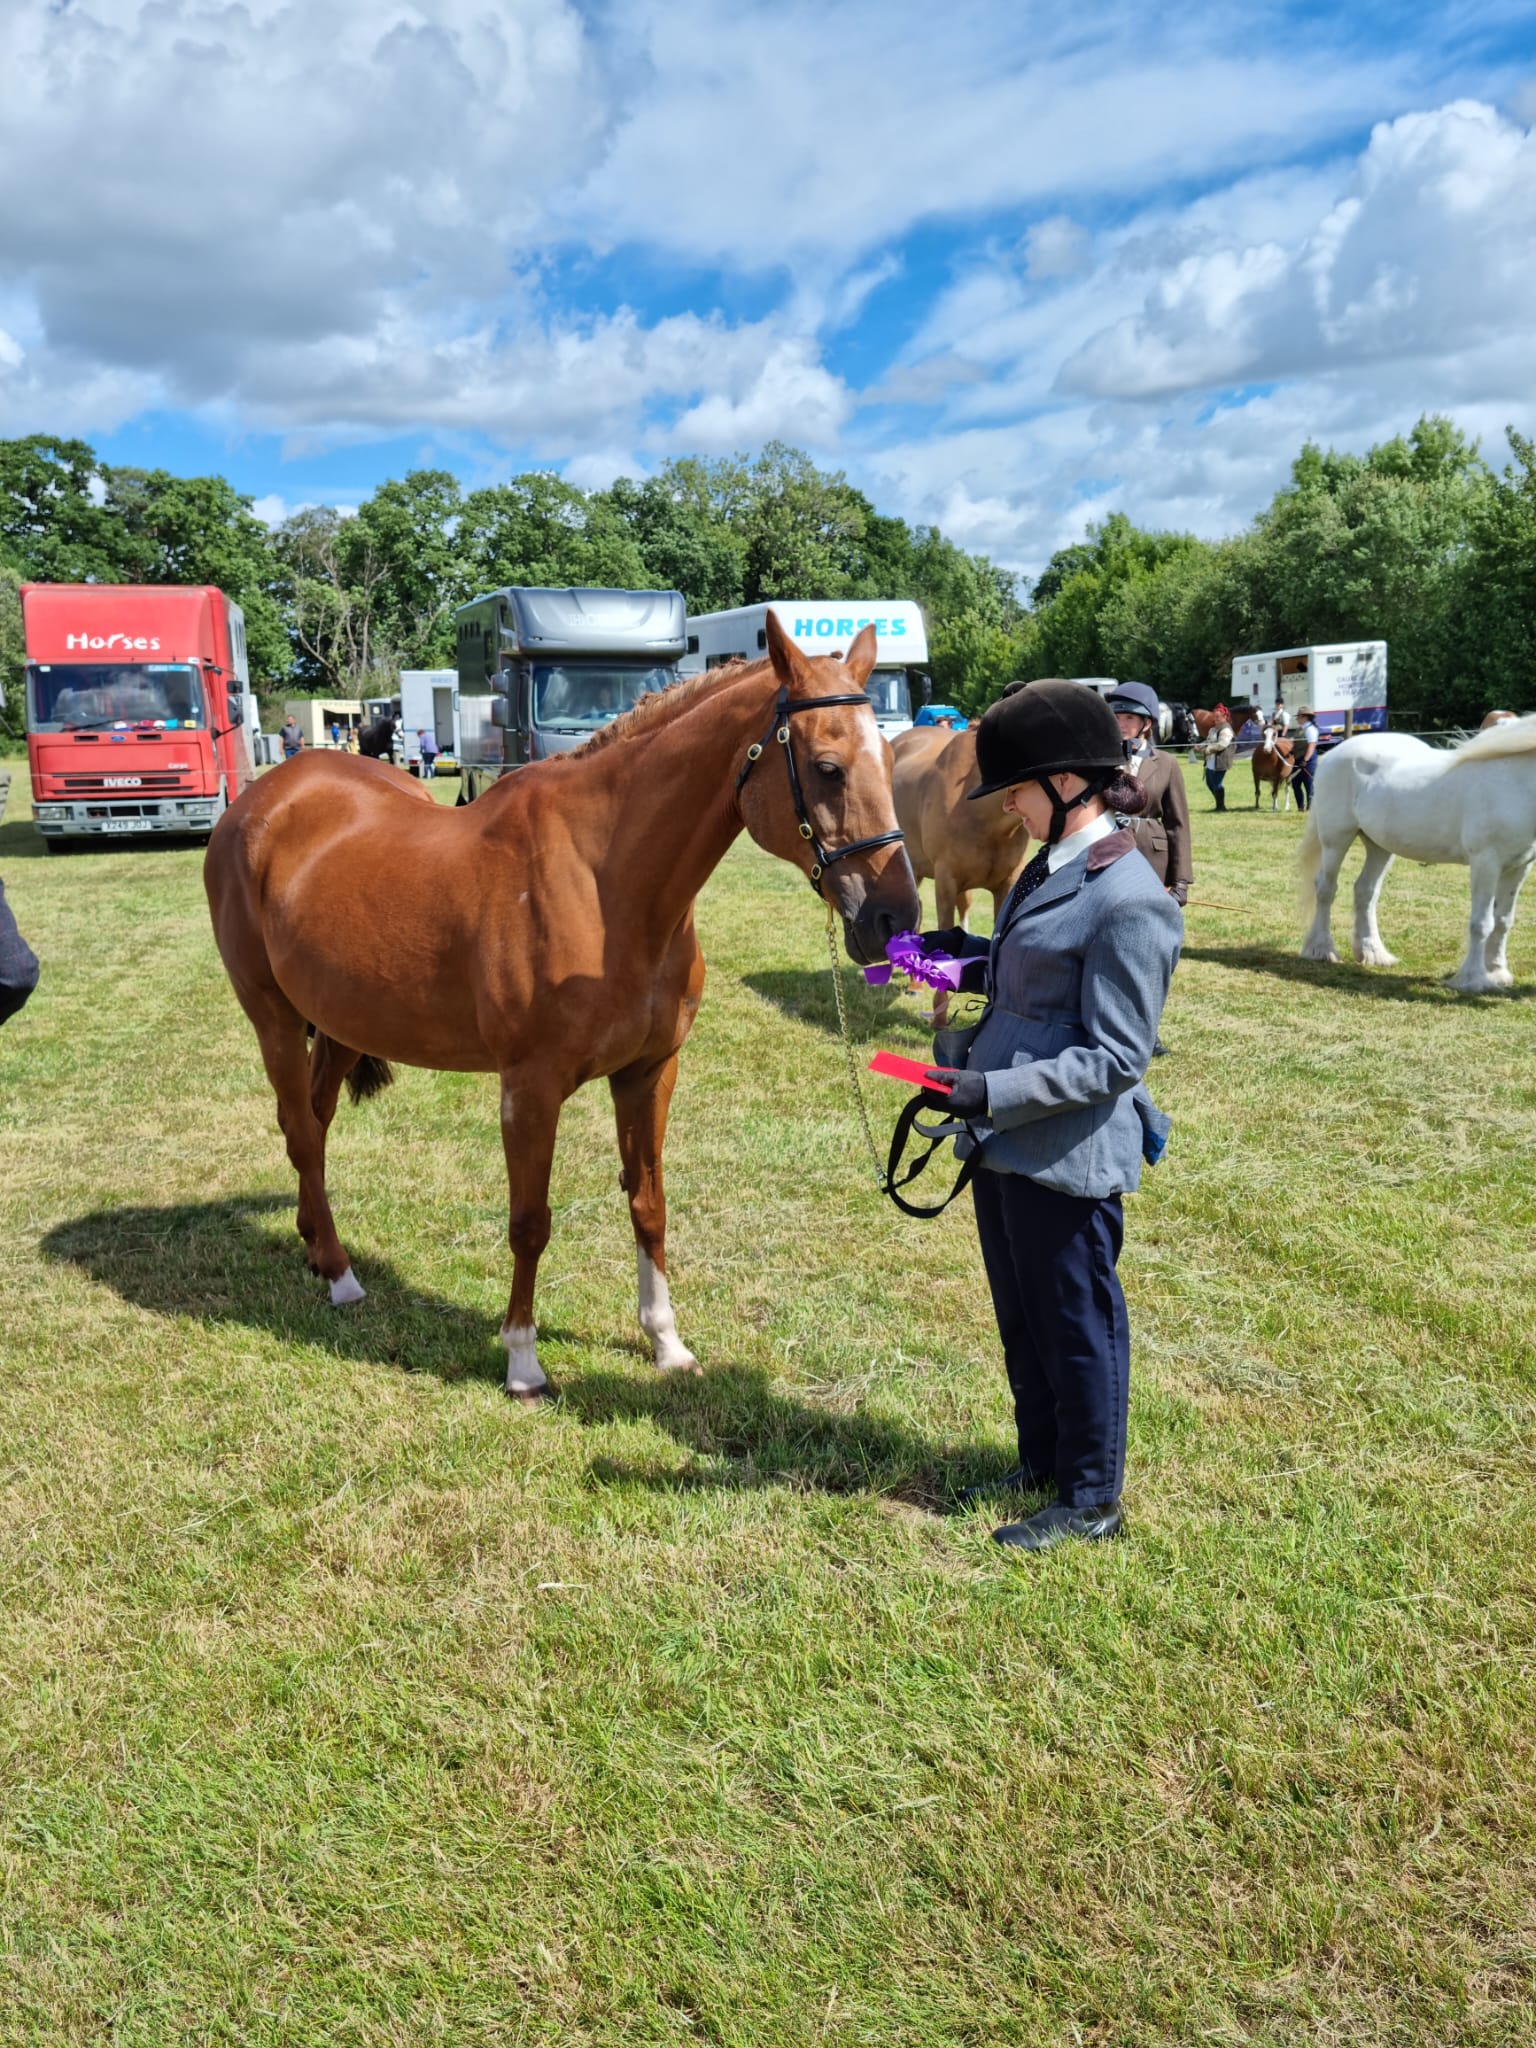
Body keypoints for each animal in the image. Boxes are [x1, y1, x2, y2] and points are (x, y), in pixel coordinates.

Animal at [208, 614, 921, 1400]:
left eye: (892, 758)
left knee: (316, 1121)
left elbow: (649, 1203)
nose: (894, 917)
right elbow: (530, 1221)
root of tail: (264, 799)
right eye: (827, 767)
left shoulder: (649, 1073)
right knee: (301, 1132)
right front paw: (522, 1361)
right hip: (271, 1015)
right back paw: (340, 1276)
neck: (605, 882)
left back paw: (316, 1247)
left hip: (341, 1021)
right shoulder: (530, 1087)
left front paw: (666, 1343)